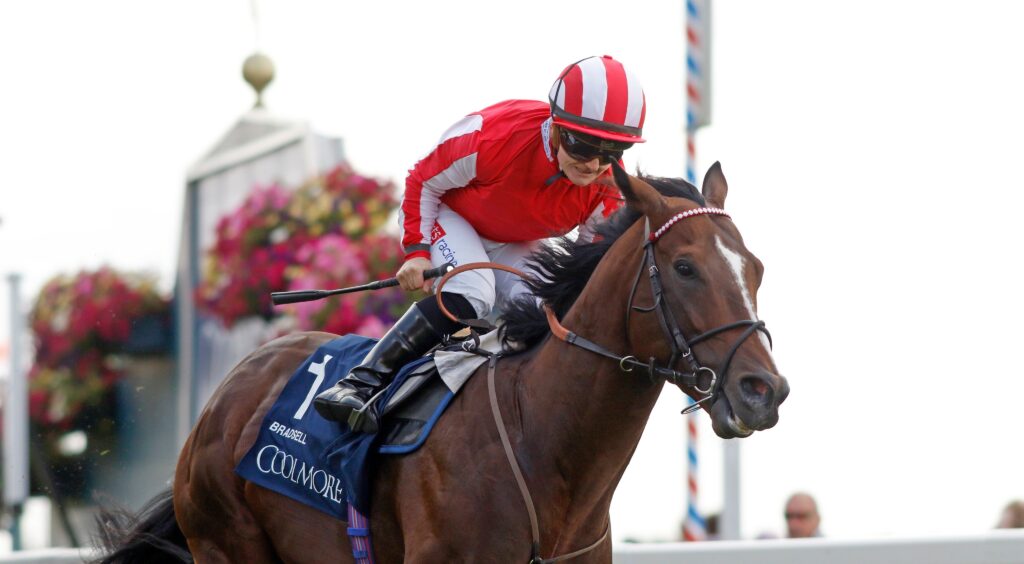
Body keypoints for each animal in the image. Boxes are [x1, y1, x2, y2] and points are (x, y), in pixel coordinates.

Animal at [92, 165, 786, 560]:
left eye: (755, 268)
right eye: (685, 267)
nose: (764, 391)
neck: (543, 445)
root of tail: (228, 390)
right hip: (228, 543)